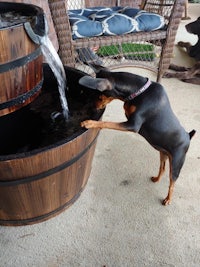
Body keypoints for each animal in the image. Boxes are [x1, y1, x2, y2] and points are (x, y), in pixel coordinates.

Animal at [79, 66, 195, 206]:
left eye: (100, 96)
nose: (94, 107)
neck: (139, 92)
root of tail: (188, 137)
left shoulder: (133, 125)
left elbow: (107, 122)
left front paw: (90, 123)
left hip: (177, 163)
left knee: (172, 182)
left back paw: (168, 199)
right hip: (163, 153)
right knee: (162, 168)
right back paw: (156, 179)